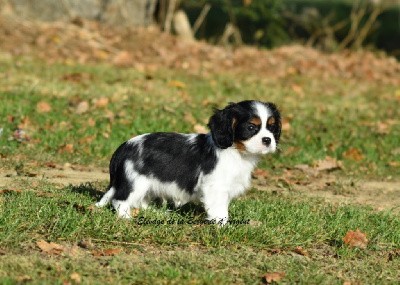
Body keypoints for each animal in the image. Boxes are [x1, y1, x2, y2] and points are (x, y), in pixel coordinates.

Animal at [95, 100, 282, 224]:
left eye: (272, 127)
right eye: (251, 127)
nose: (267, 140)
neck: (237, 151)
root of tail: (123, 148)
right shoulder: (216, 187)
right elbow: (220, 209)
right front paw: (223, 225)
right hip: (136, 182)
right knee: (120, 201)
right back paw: (127, 218)